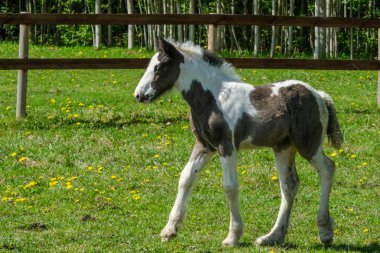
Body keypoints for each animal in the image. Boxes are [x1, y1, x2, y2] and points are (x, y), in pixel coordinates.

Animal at [134, 37, 344, 247]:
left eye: (160, 66)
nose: (139, 95)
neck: (213, 97)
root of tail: (319, 95)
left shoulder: (226, 146)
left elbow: (230, 187)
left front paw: (232, 236)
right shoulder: (205, 146)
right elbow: (186, 178)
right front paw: (169, 230)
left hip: (308, 146)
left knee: (327, 169)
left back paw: (325, 231)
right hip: (283, 148)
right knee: (289, 185)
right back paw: (272, 237)